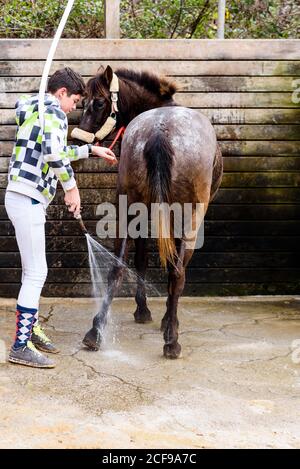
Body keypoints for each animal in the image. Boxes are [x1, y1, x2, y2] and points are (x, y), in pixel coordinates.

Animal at [77, 65, 223, 358]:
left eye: (98, 102)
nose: (77, 138)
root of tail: (160, 130)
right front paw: (159, 316)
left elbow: (142, 259)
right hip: (190, 217)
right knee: (177, 273)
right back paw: (171, 339)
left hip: (128, 205)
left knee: (117, 267)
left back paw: (95, 332)